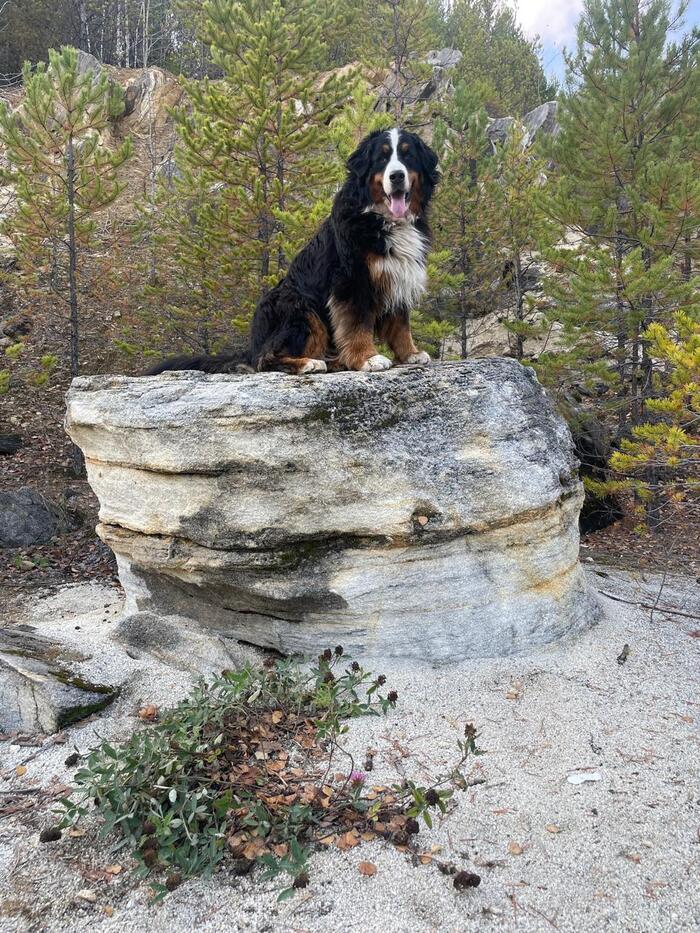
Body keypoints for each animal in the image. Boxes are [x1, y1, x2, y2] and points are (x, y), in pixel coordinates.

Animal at [149, 129, 438, 376]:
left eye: (408, 155)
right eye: (382, 158)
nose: (396, 176)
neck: (381, 218)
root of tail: (253, 343)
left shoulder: (398, 272)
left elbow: (400, 324)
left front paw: (410, 354)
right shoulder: (350, 281)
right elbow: (356, 325)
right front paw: (367, 358)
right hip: (300, 307)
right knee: (265, 359)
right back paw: (310, 363)